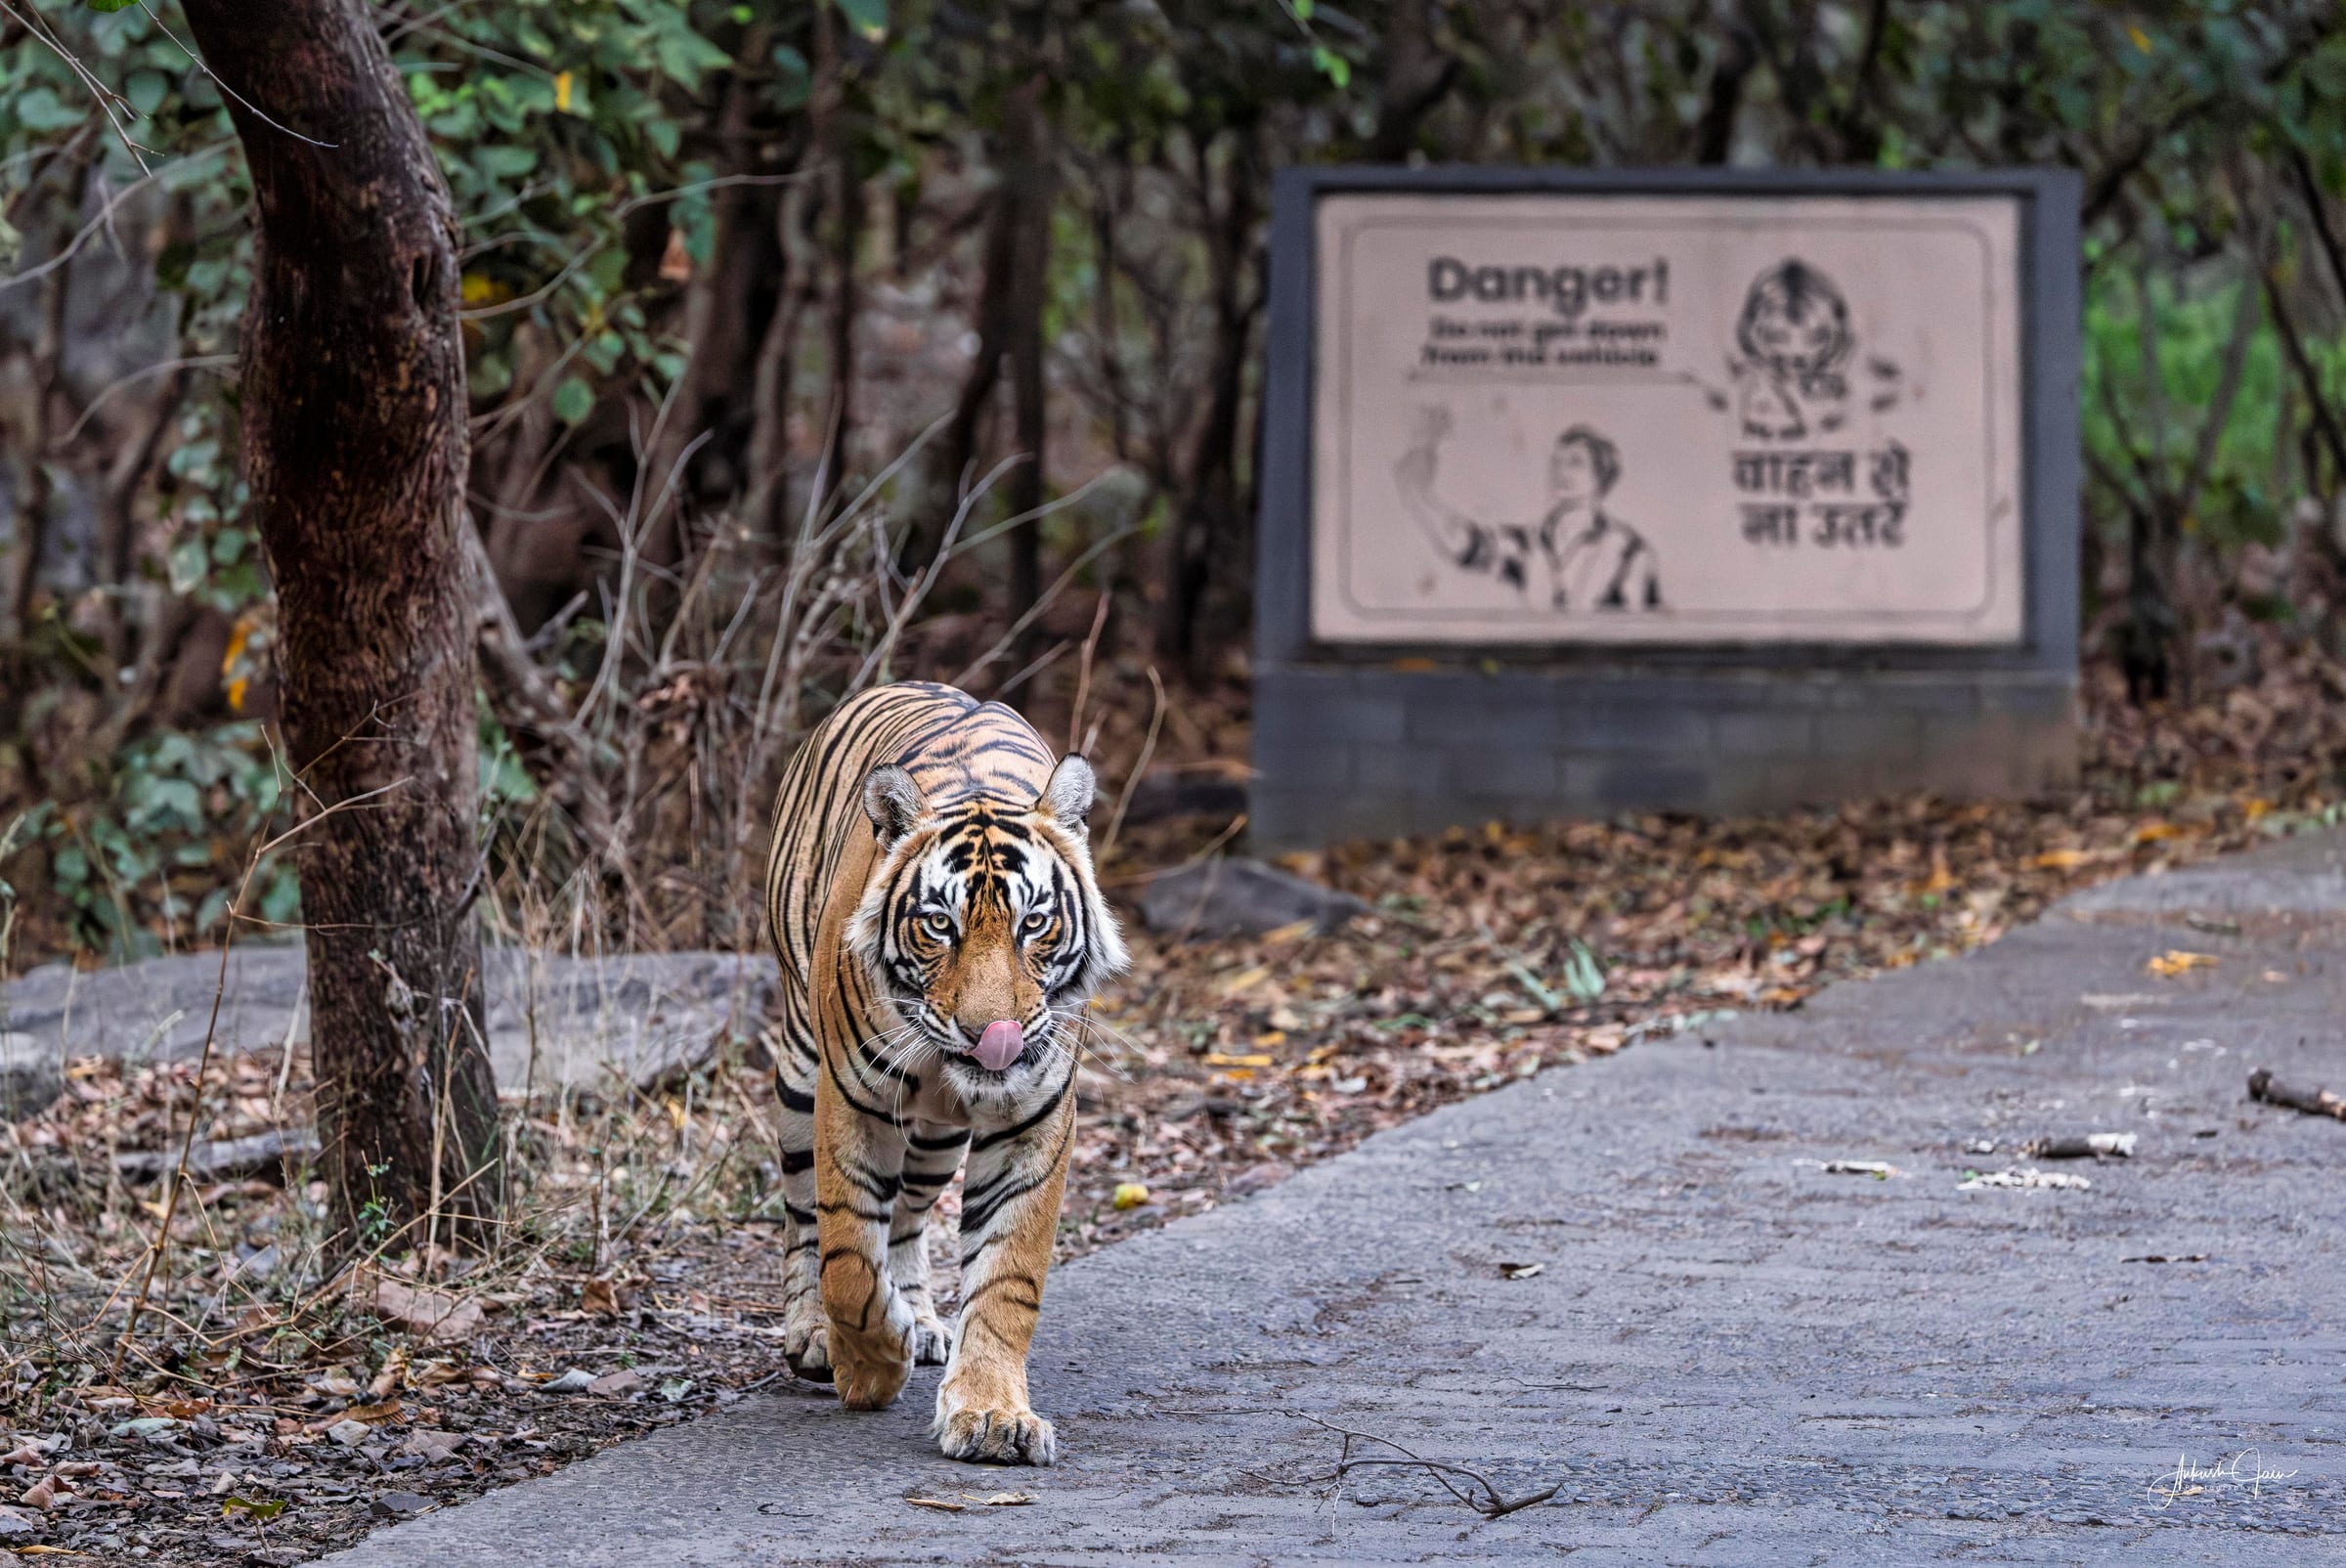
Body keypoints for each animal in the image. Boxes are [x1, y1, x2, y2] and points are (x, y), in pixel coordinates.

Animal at [762, 680, 1128, 1466]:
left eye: (1033, 924)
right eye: (939, 925)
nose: (992, 1038)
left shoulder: (1033, 1123)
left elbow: (1006, 1278)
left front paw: (991, 1414)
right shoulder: (849, 1102)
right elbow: (847, 1258)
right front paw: (869, 1367)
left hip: (935, 1137)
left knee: (907, 1215)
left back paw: (923, 1319)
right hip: (799, 1069)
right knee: (805, 1217)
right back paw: (814, 1337)